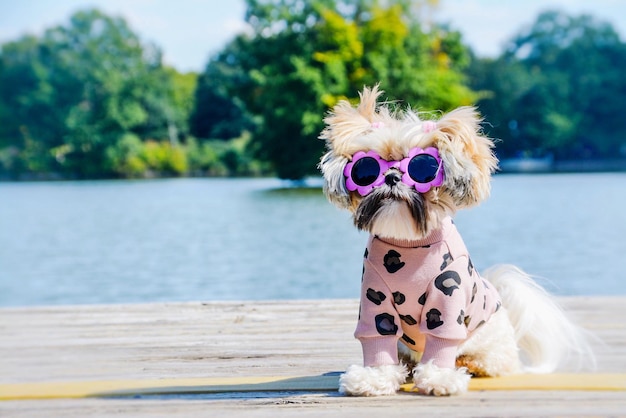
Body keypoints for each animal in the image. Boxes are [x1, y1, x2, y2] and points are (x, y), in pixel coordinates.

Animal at [316, 85, 588, 396]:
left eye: (423, 166)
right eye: (366, 168)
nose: (392, 176)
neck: (408, 243)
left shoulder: (447, 296)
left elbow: (443, 338)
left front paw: (438, 378)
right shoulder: (375, 298)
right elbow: (377, 335)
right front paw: (375, 376)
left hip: (491, 349)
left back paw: (466, 365)